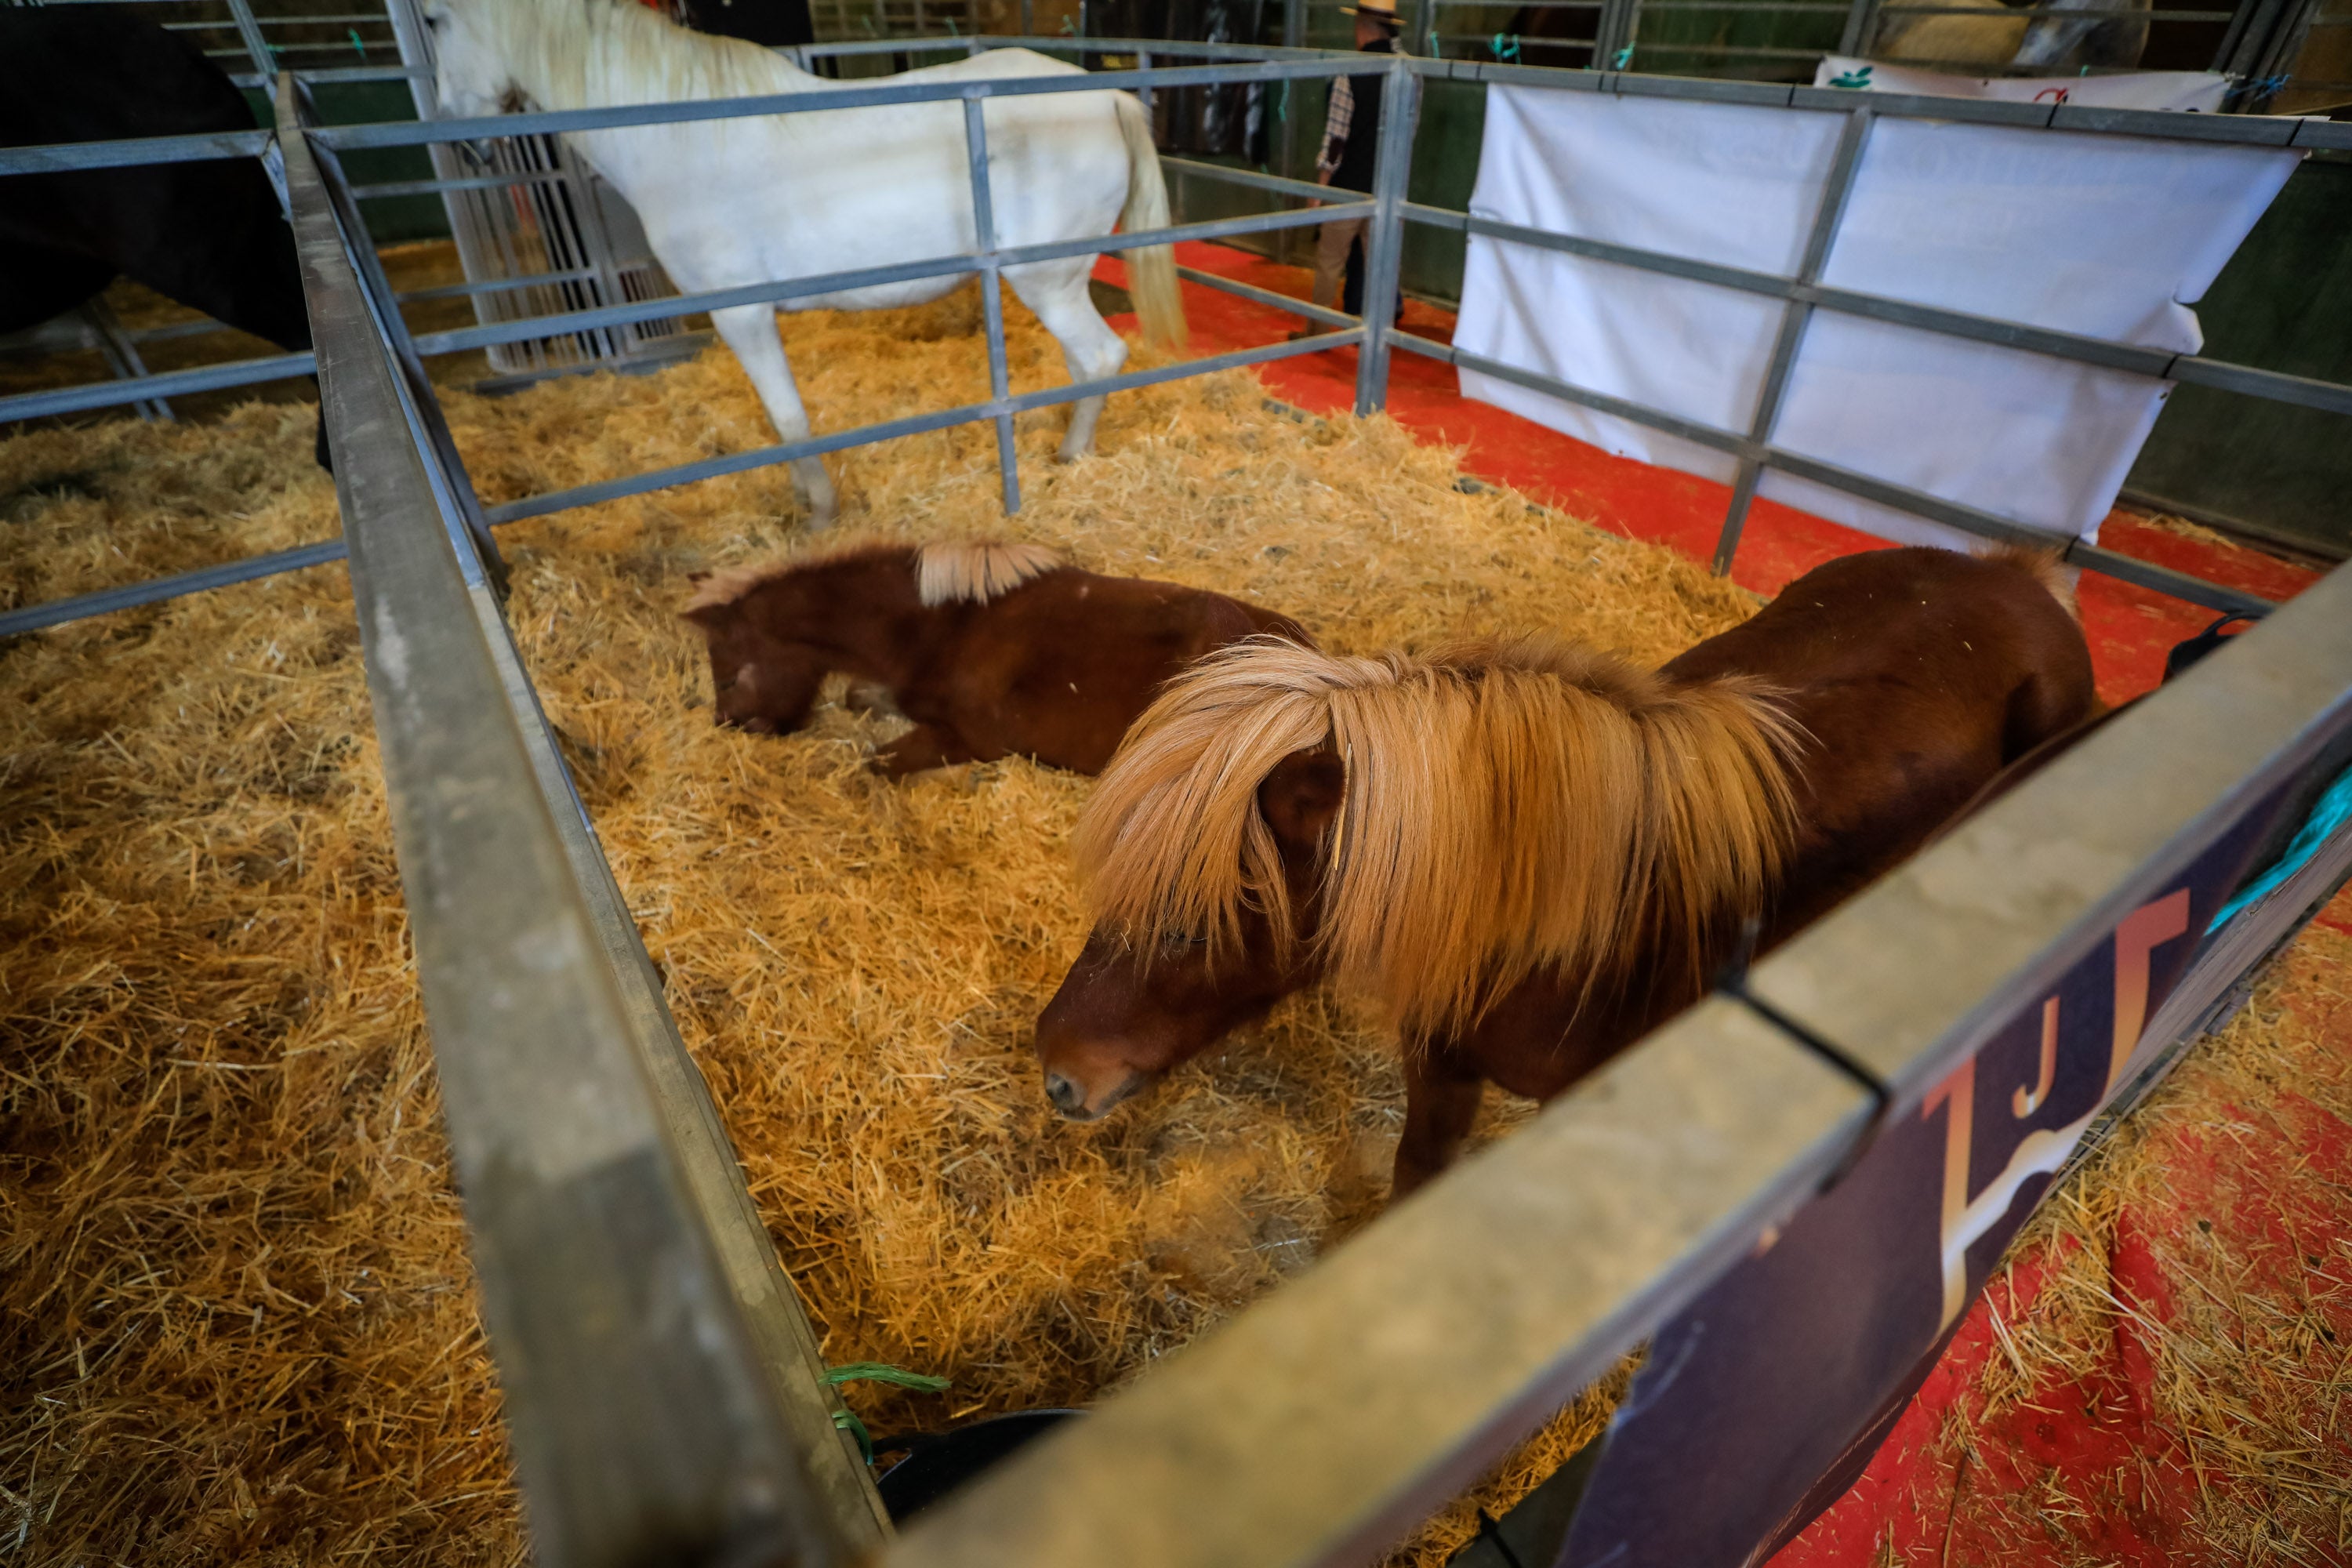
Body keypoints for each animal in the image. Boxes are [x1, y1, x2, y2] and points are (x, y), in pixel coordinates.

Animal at [419, 0, 1176, 531]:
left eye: (432, 19)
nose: (458, 135)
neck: (679, 137)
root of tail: (1105, 95)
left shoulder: (741, 315)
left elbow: (787, 419)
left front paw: (817, 511)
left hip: (1046, 281)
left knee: (1101, 355)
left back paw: (1070, 456)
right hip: (1057, 280)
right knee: (1084, 363)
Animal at [687, 543, 1308, 780]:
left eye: (729, 675)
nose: (727, 724)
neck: (945, 628)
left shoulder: (971, 739)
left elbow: (877, 761)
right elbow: (861, 696)